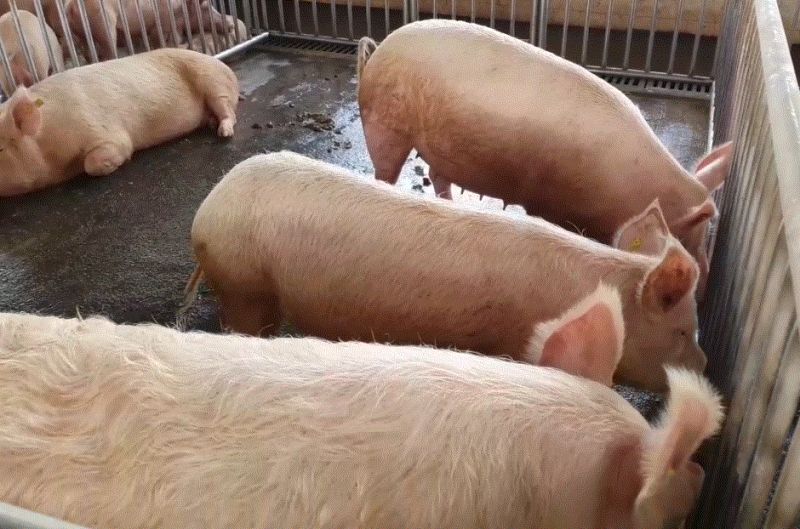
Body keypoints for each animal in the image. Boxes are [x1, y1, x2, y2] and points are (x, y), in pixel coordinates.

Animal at [0, 47, 238, 196]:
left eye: (0, 149)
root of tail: (226, 68)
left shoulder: (106, 133)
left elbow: (95, 161)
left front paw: (111, 165)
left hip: (213, 82)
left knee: (228, 111)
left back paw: (223, 132)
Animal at [356, 19, 734, 298]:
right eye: (687, 235)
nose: (705, 278)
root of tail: (378, 51)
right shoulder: (549, 201)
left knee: (438, 175)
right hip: (384, 126)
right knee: (385, 172)